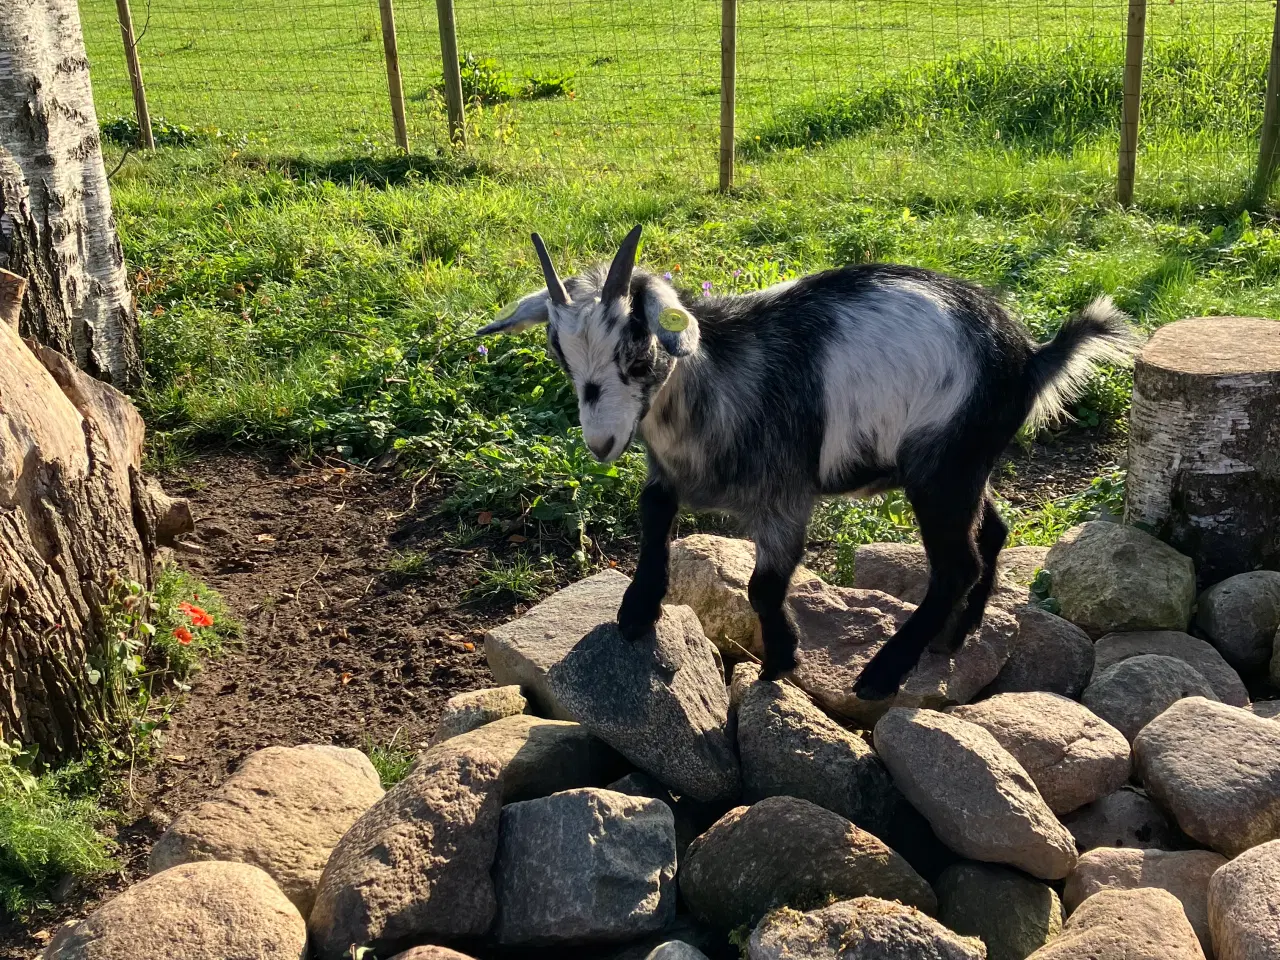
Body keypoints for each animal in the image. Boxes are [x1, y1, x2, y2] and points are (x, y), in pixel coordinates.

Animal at [476, 229, 1136, 701]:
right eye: (559, 354)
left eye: (637, 350)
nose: (601, 442)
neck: (718, 383)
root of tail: (1029, 356)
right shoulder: (670, 474)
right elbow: (655, 508)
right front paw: (638, 609)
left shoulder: (785, 497)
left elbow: (764, 586)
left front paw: (781, 658)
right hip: (964, 465)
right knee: (992, 532)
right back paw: (959, 632)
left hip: (943, 467)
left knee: (956, 565)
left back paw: (884, 672)